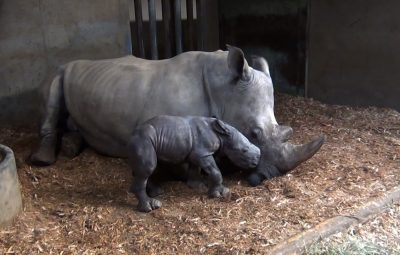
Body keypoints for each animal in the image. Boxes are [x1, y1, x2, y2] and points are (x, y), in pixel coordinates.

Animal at [126, 115, 260, 211]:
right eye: (244, 150)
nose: (257, 159)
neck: (222, 136)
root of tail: (131, 135)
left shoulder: (197, 153)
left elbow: (195, 169)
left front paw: (198, 186)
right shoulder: (203, 153)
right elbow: (215, 171)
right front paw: (220, 193)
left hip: (147, 141)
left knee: (148, 168)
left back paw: (157, 192)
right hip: (143, 140)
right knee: (148, 167)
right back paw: (150, 206)